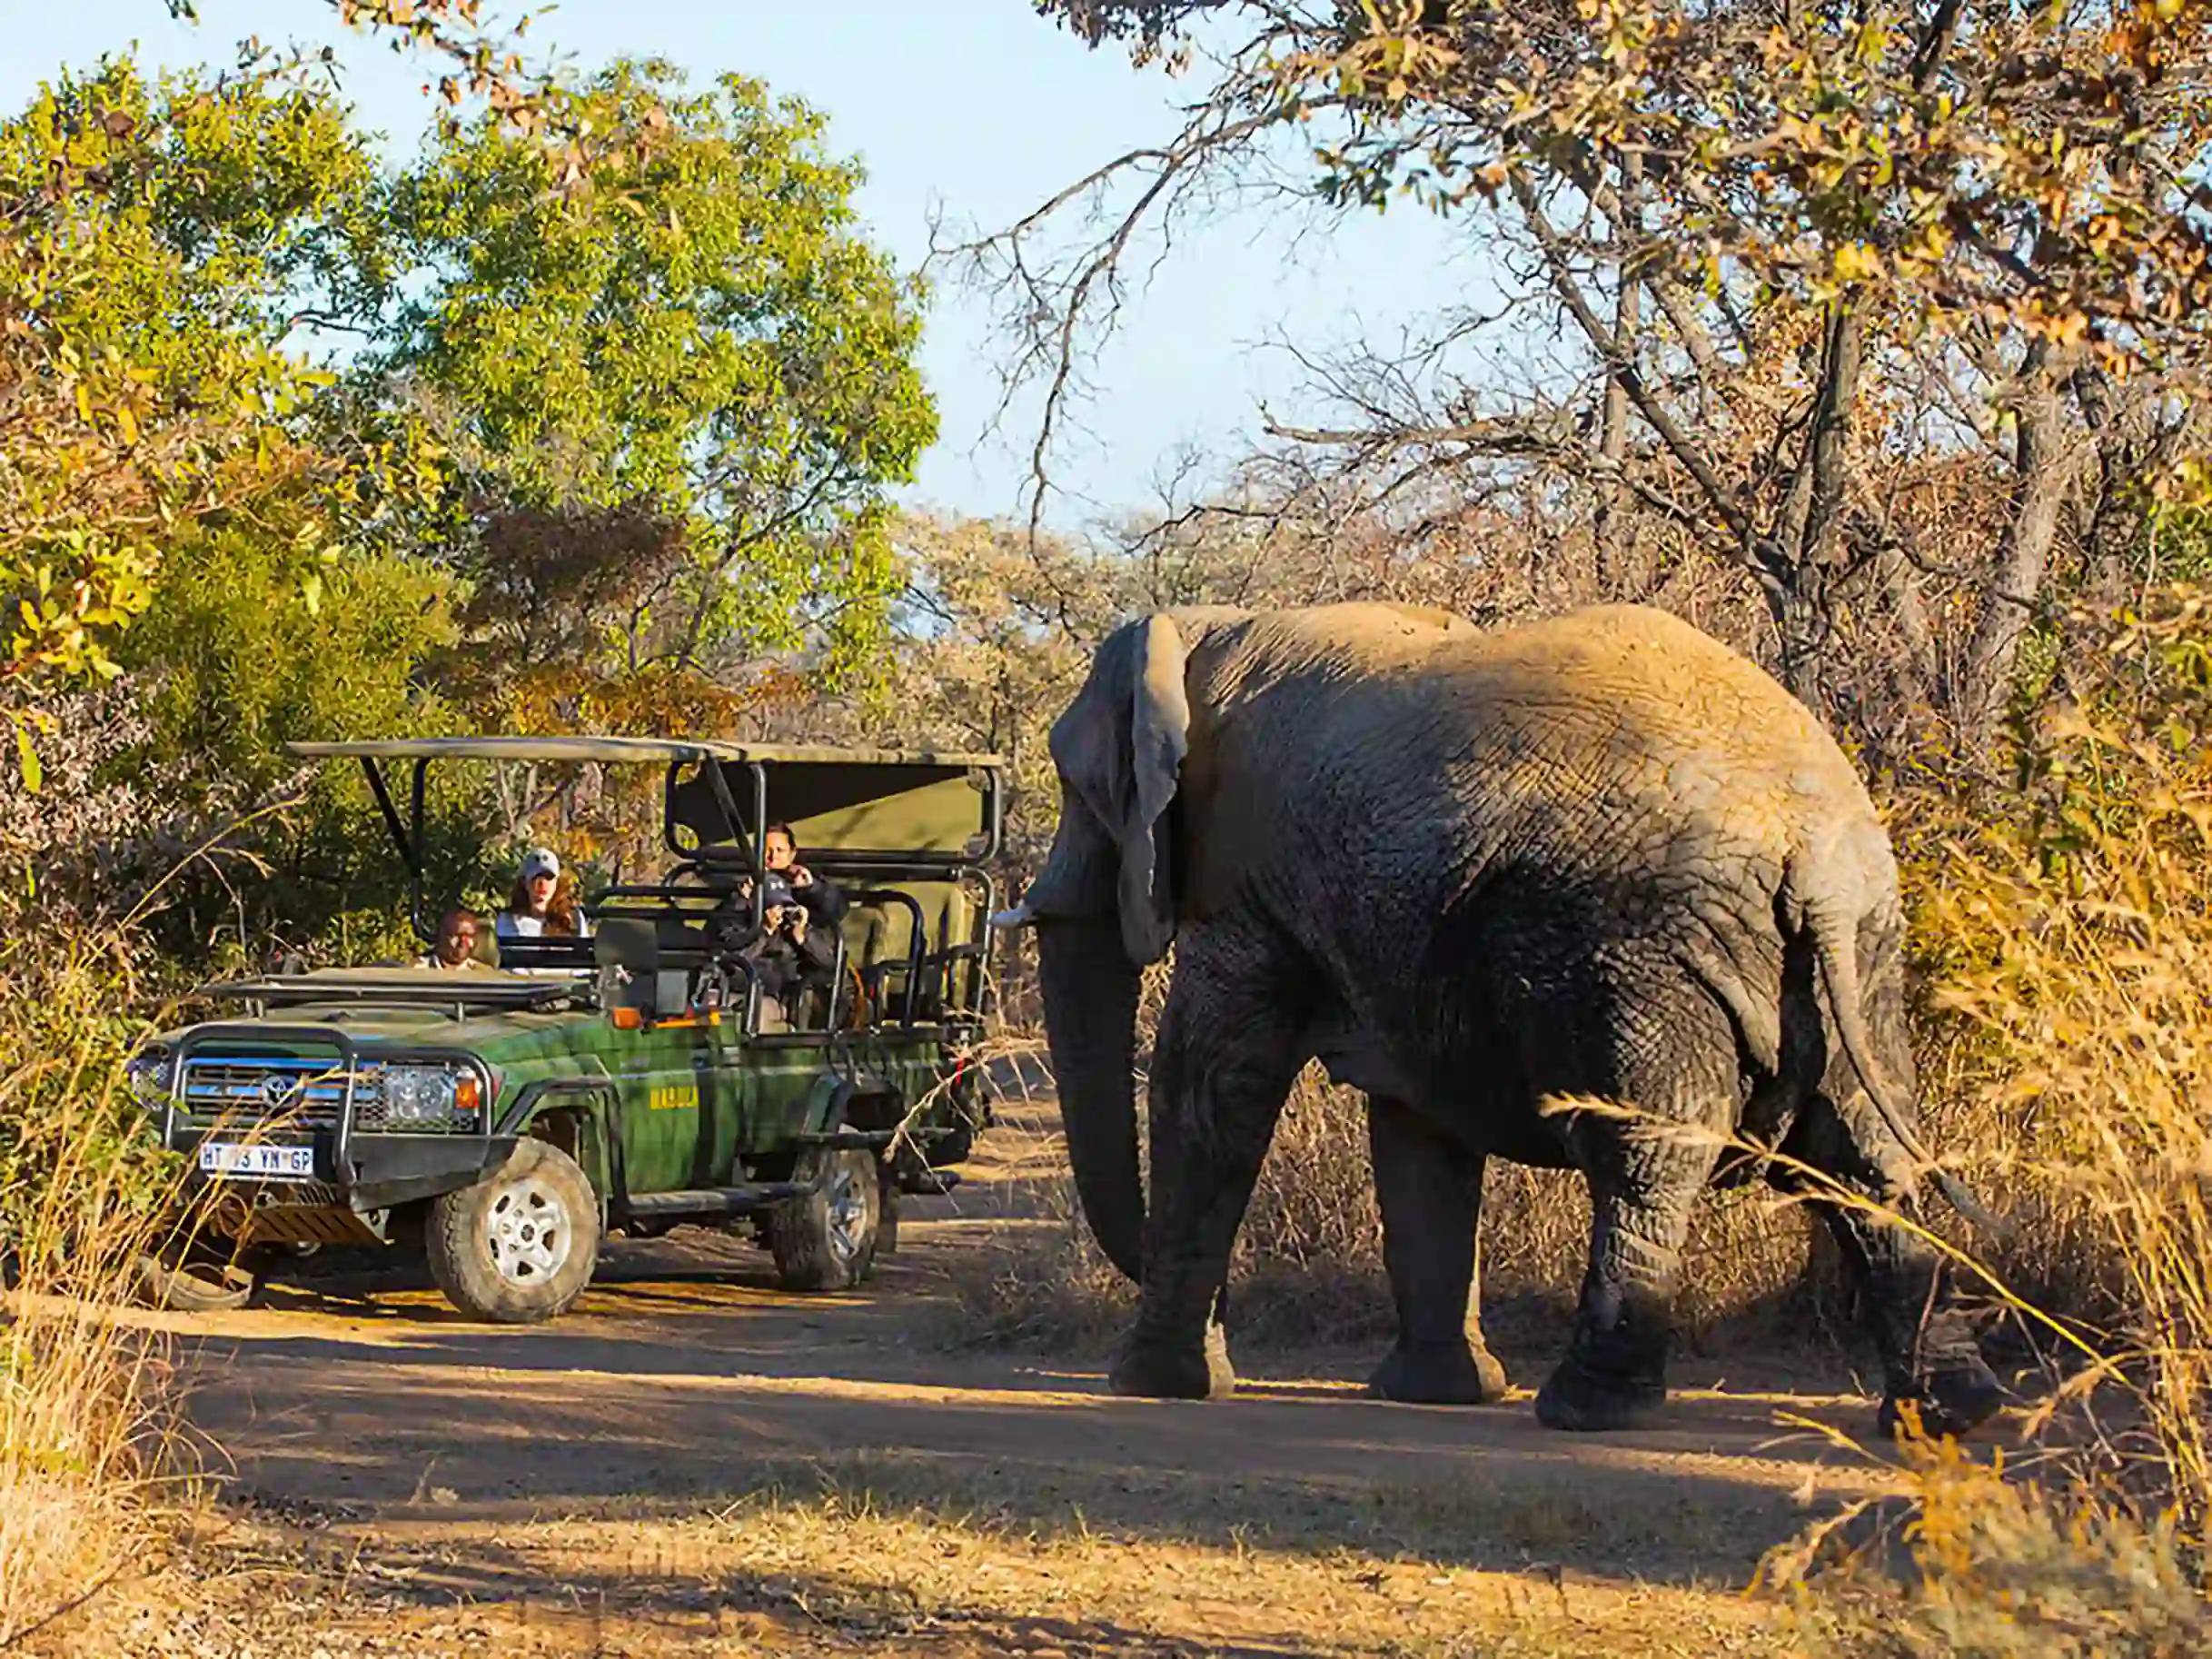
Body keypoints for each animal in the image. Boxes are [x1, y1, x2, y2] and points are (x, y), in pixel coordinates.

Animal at [1004, 606, 2008, 1433]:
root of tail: (1809, 846)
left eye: (1080, 789)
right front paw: (1437, 1393)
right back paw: (1945, 1414)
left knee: (1648, 1157)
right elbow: (1417, 1128)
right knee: (1864, 1156)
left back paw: (1585, 1408)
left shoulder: (1252, 875)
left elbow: (1212, 1082)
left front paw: (1151, 1384)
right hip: (1860, 951)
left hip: (1640, 945)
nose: (1224, 1315)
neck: (1204, 629)